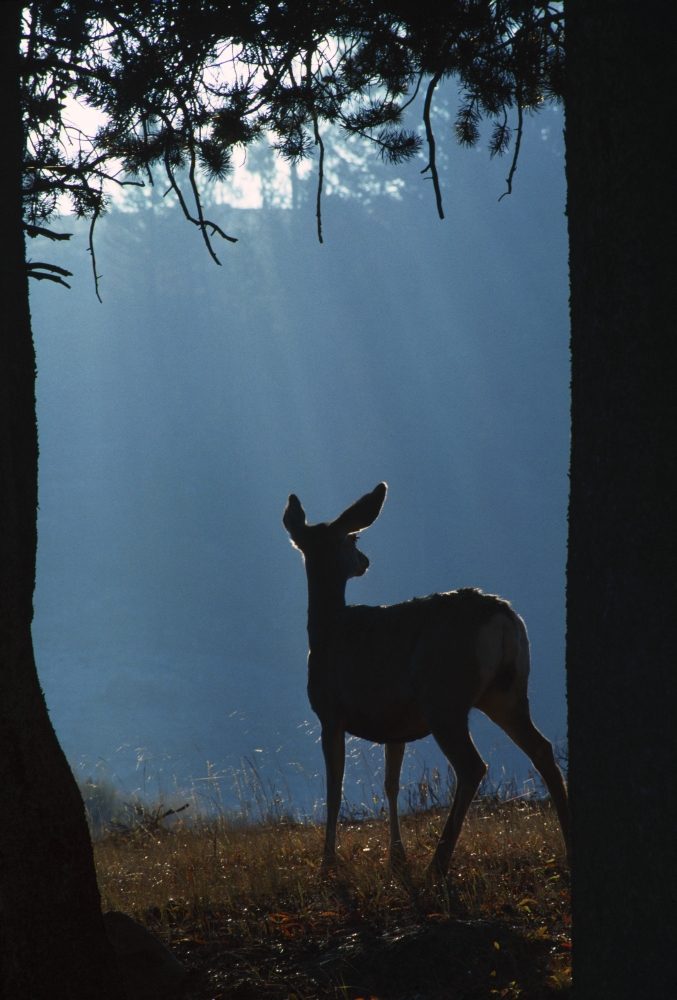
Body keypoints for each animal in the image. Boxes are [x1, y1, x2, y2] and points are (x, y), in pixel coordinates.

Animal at [283, 482, 570, 878]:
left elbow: (334, 789)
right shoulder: (393, 726)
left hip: (443, 695)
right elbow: (391, 784)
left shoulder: (330, 712)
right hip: (508, 693)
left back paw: (438, 863)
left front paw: (327, 864)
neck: (324, 629)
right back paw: (569, 841)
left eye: (355, 537)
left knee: (472, 766)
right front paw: (396, 857)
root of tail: (501, 615)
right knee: (542, 749)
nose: (366, 561)